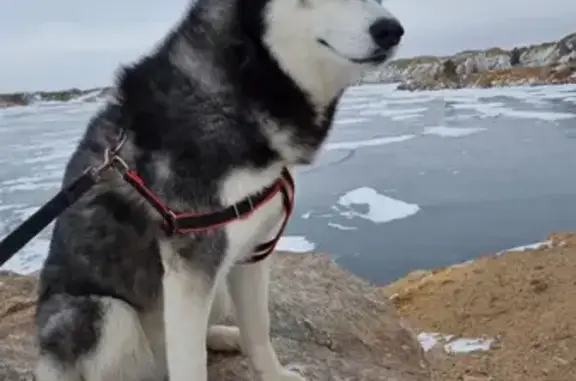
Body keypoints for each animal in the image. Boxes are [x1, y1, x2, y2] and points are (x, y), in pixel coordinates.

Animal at [35, 0, 404, 378]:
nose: (391, 31)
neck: (244, 79)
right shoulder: (190, 263)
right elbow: (191, 364)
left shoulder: (254, 247)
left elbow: (259, 329)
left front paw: (273, 374)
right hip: (104, 316)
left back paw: (225, 336)